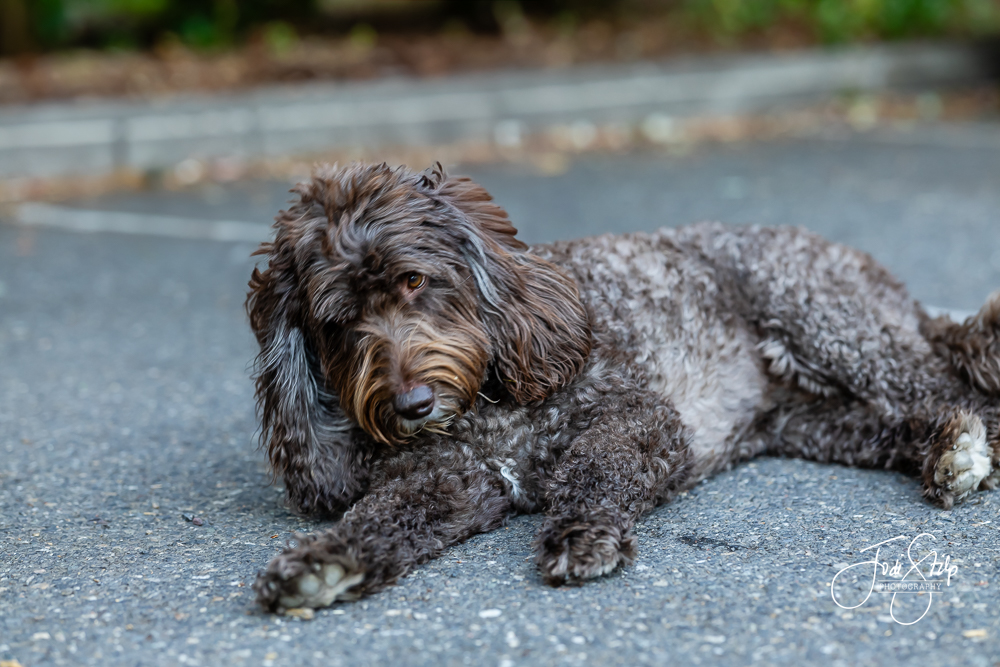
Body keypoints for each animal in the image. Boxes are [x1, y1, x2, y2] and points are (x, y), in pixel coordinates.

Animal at [247, 161, 1000, 612]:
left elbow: (595, 466)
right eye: (338, 322)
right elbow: (380, 516)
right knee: (903, 419)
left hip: (829, 321)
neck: (487, 407)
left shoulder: (640, 415)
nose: (411, 406)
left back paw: (962, 448)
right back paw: (947, 450)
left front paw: (582, 533)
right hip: (812, 421)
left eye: (413, 280)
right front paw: (324, 561)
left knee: (952, 388)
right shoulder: (451, 479)